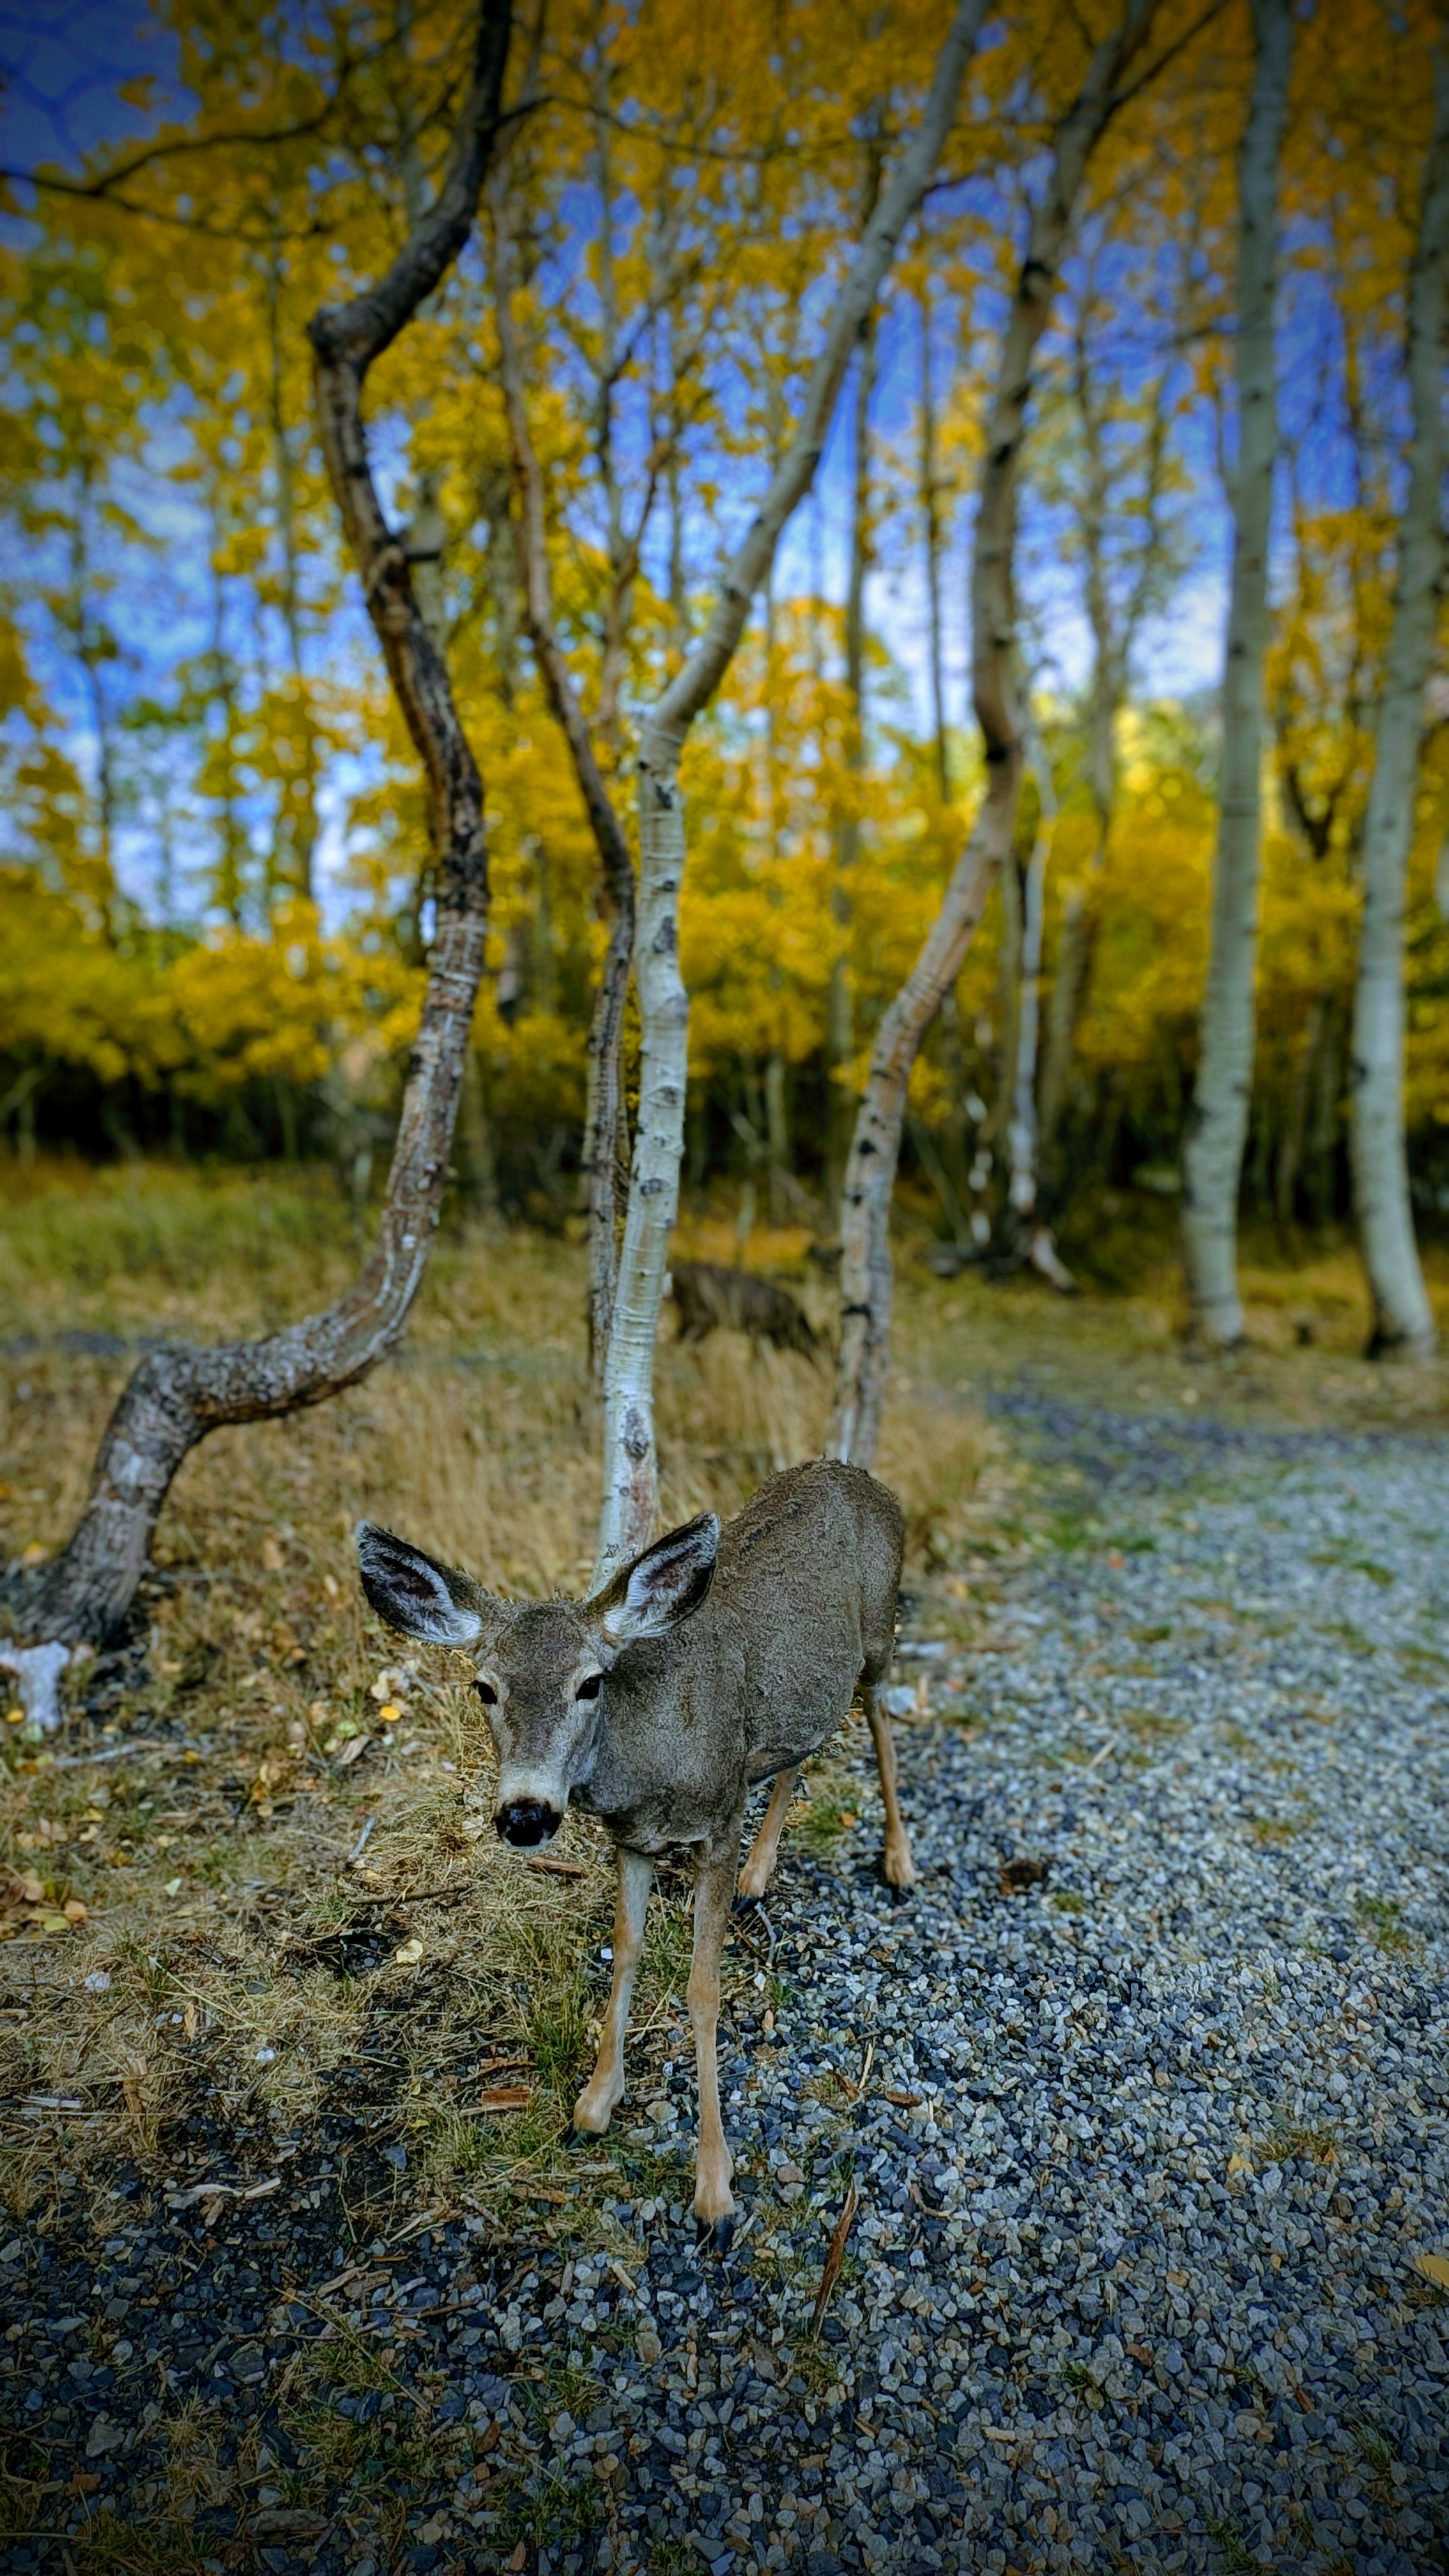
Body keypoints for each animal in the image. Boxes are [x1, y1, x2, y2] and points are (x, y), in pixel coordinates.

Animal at [355, 1457, 916, 2251]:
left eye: (591, 1683)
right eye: (484, 1688)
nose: (526, 1814)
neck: (647, 1764)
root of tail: (859, 1474)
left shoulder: (718, 1818)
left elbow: (703, 1989)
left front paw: (714, 2189)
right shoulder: (633, 1840)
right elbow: (626, 1949)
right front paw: (594, 2103)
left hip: (879, 1632)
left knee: (880, 1719)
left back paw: (899, 1860)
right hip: (808, 1691)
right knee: (805, 1746)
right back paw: (761, 1875)